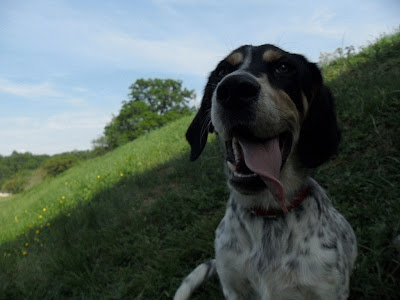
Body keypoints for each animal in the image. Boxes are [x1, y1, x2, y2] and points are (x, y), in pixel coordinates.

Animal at [174, 44, 356, 300]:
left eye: (283, 67)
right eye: (222, 71)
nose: (233, 89)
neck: (268, 213)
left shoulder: (328, 290)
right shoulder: (232, 287)